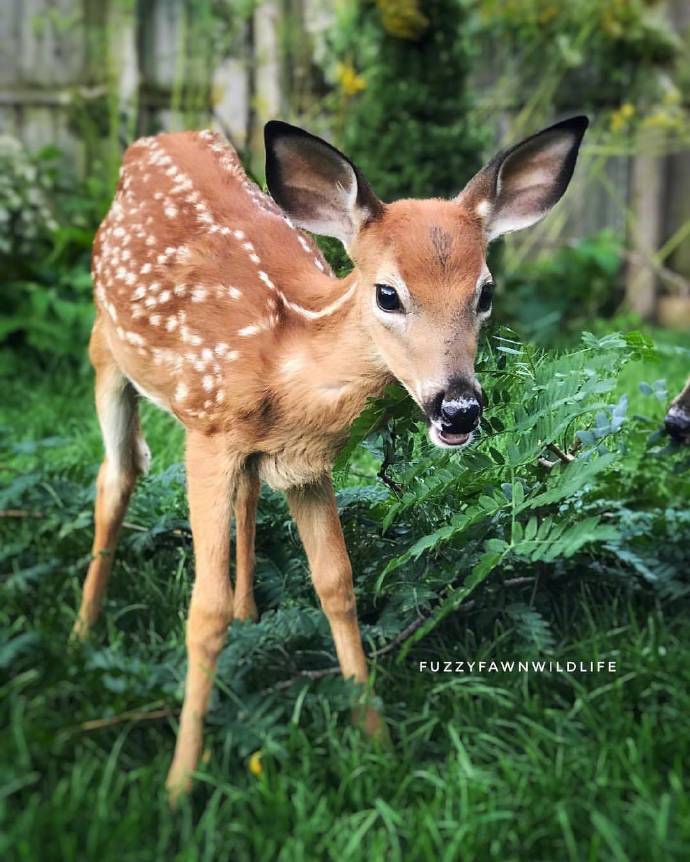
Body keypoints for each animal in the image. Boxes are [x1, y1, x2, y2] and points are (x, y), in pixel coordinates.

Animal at [72, 115, 588, 798]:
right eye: (388, 294)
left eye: (485, 292)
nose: (457, 408)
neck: (282, 353)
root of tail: (154, 139)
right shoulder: (207, 430)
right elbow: (203, 611)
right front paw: (181, 783)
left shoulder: (305, 463)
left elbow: (337, 584)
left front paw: (377, 740)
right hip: (106, 349)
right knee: (120, 472)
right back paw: (83, 630)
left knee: (244, 492)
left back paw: (250, 610)